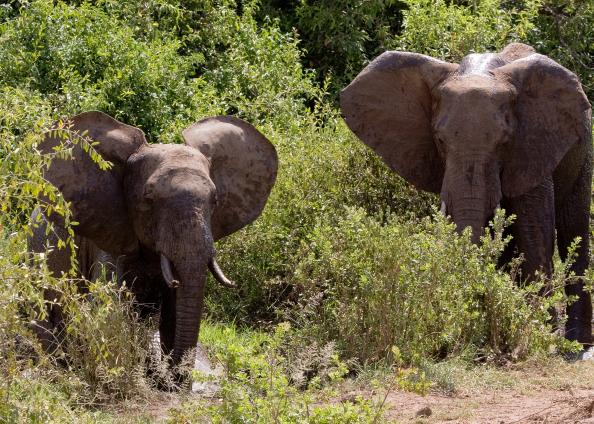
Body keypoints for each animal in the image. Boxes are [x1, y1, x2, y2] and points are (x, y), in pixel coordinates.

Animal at [340, 43, 588, 346]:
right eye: (439, 140)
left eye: (504, 141)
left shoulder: (533, 144)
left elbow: (533, 229)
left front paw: (541, 334)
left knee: (574, 229)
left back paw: (578, 341)